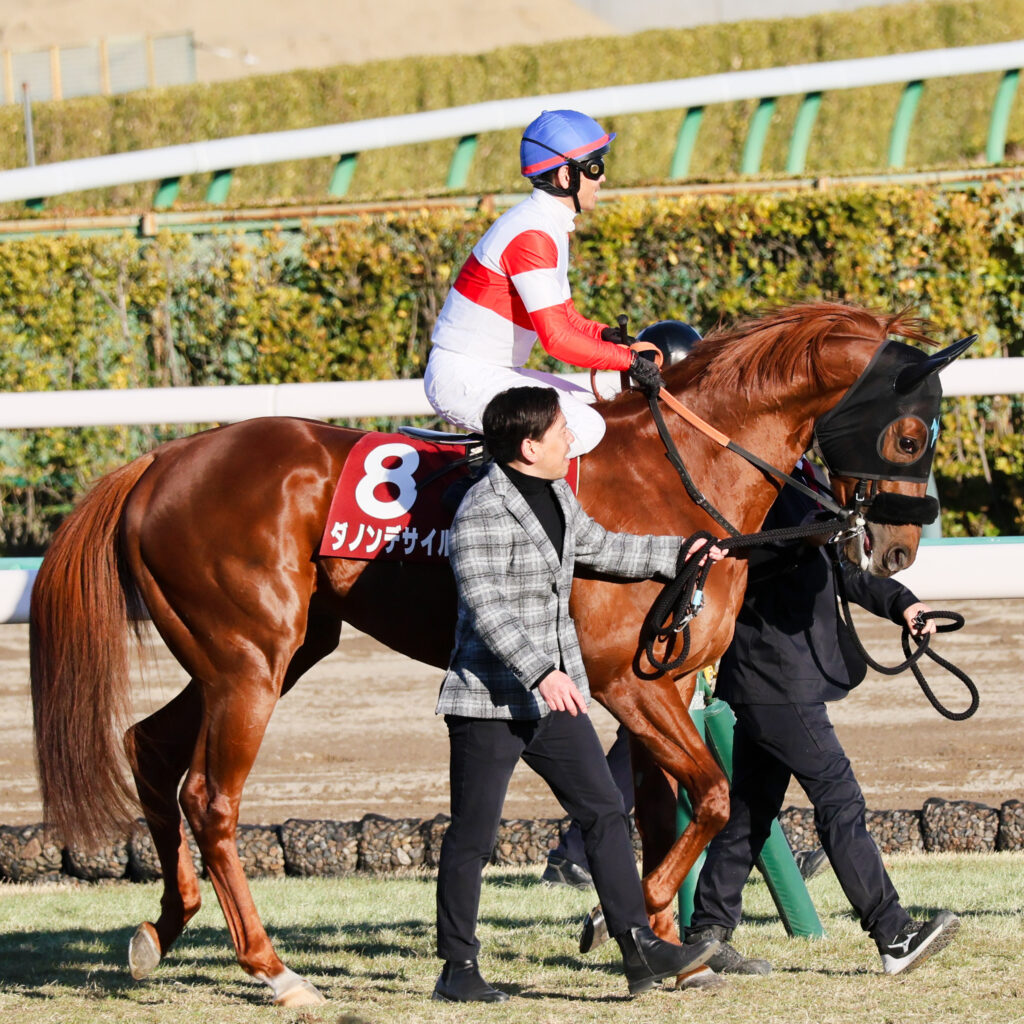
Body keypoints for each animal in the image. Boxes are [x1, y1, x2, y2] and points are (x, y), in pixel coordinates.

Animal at [30, 301, 957, 1006]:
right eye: (913, 435)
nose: (898, 549)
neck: (678, 472)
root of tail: (159, 459)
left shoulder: (662, 676)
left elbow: (668, 810)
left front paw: (670, 948)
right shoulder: (623, 682)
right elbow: (718, 796)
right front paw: (623, 924)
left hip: (261, 655)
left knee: (148, 747)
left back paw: (160, 928)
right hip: (250, 660)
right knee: (210, 797)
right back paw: (274, 969)